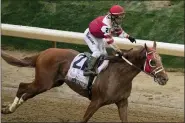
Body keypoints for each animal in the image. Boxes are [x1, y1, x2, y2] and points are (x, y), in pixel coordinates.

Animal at [1, 41, 168, 122]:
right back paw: (9, 108)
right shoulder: (95, 101)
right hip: (43, 82)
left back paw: (9, 108)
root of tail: (43, 52)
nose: (165, 78)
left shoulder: (122, 102)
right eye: (153, 62)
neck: (118, 75)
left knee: (27, 94)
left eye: (161, 59)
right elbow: (84, 119)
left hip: (51, 83)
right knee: (22, 87)